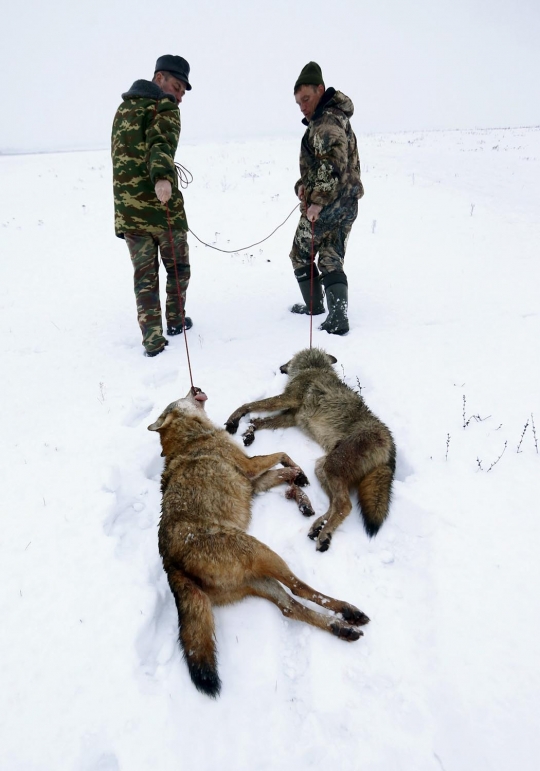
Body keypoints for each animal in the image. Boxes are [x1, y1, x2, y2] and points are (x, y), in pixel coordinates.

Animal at [148, 386, 370, 700]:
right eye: (182, 396)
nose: (195, 388)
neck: (192, 436)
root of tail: (170, 565)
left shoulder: (254, 483)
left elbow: (284, 469)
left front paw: (300, 483)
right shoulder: (250, 466)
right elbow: (280, 454)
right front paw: (298, 474)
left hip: (261, 577)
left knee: (291, 607)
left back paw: (342, 627)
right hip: (265, 554)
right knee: (300, 589)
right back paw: (348, 612)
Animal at [226, 350, 394, 556]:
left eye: (288, 359)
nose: (280, 367)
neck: (312, 367)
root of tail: (389, 443)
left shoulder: (287, 399)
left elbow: (250, 404)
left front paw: (234, 419)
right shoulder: (291, 417)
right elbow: (259, 421)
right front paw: (249, 432)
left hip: (331, 466)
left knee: (345, 505)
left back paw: (324, 535)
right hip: (321, 468)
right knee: (334, 504)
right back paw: (319, 527)